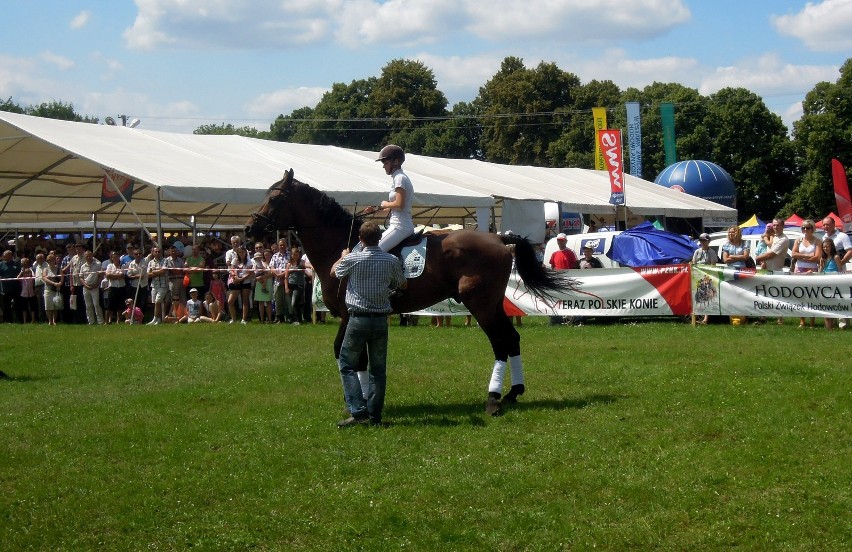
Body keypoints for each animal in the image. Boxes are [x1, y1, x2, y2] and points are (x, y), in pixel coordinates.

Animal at [243, 168, 568, 414]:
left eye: (275, 198)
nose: (248, 230)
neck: (340, 246)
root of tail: (500, 239)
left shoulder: (350, 315)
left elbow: (349, 355)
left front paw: (360, 404)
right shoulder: (358, 316)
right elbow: (356, 357)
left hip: (481, 305)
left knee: (500, 343)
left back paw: (494, 399)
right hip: (493, 304)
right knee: (512, 339)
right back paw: (514, 392)